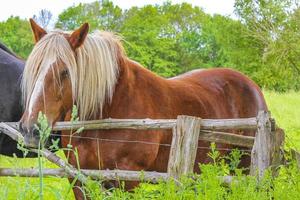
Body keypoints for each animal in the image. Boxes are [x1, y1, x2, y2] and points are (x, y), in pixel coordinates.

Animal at [19, 19, 268, 199]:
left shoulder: (128, 179)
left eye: (65, 72)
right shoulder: (79, 178)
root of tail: (252, 86)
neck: (109, 109)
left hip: (244, 165)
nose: (30, 129)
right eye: (34, 68)